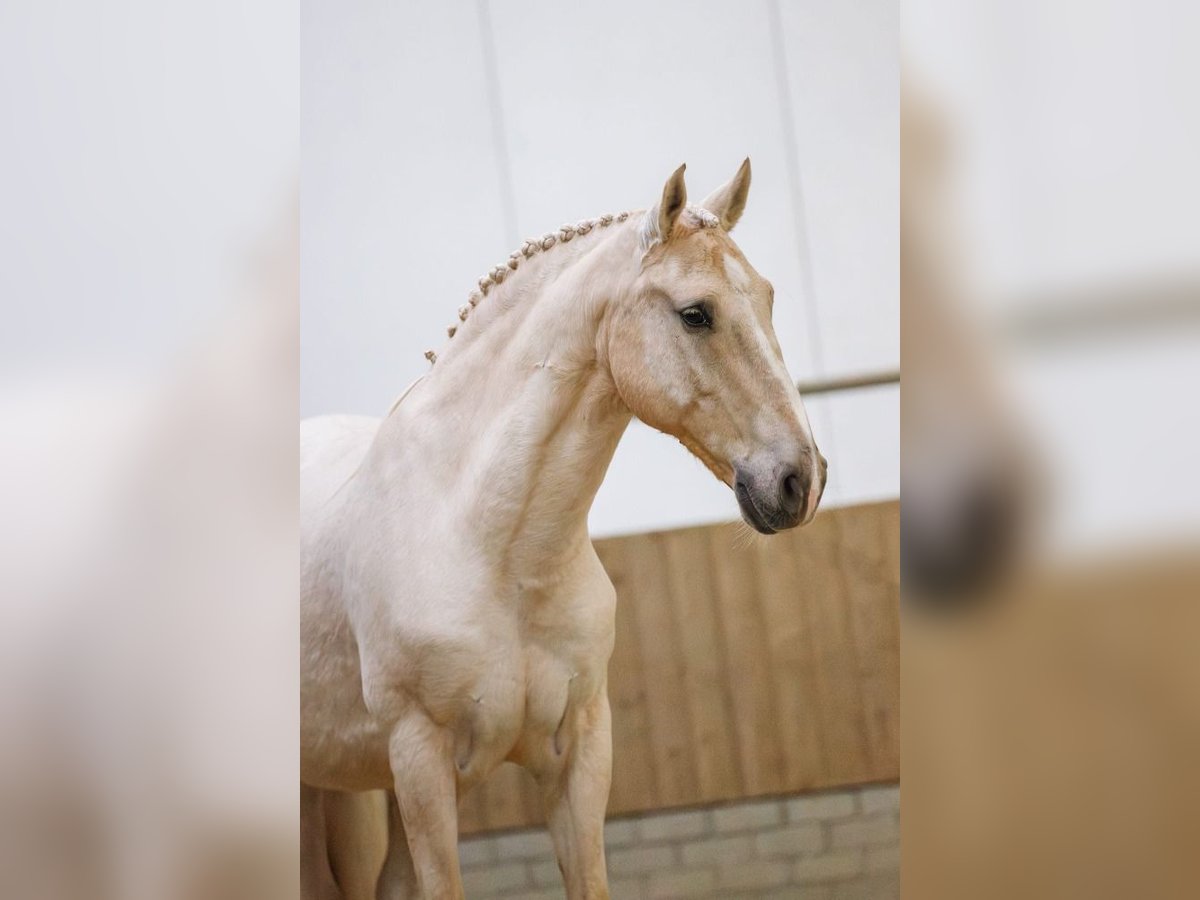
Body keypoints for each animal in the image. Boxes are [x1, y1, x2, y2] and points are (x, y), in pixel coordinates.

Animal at [300, 164, 825, 900]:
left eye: (770, 299)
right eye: (696, 313)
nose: (800, 481)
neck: (495, 550)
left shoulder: (579, 753)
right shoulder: (420, 761)